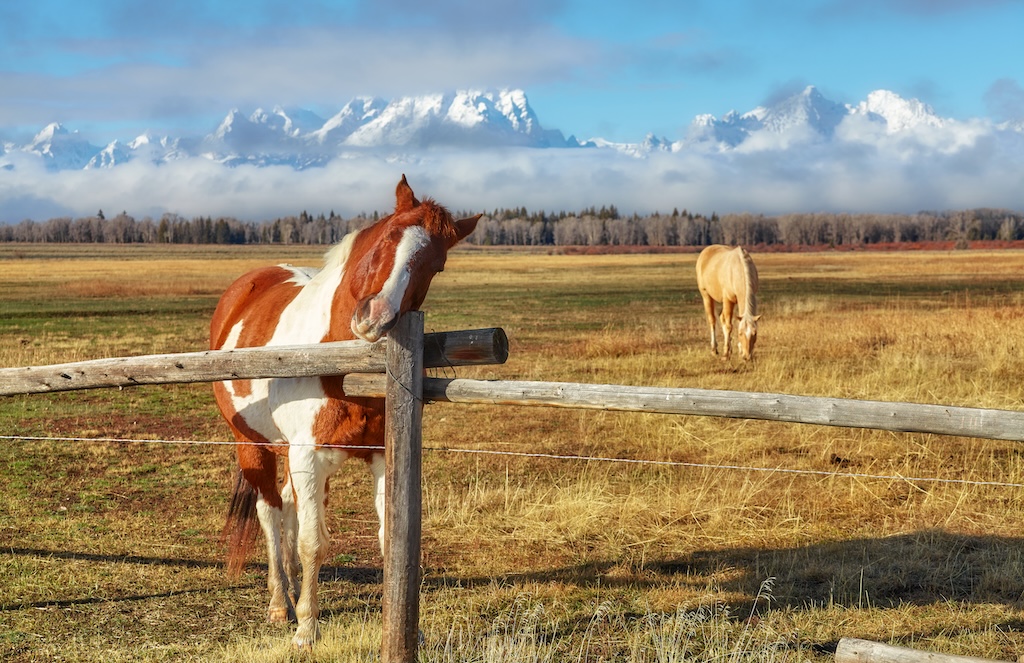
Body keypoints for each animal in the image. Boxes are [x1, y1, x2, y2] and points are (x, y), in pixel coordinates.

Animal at [210, 175, 479, 647]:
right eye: (389, 235)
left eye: (438, 264)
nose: (375, 317)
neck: (334, 359)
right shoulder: (307, 456)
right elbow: (313, 542)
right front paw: (306, 628)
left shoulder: (381, 456)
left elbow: (389, 538)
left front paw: (402, 625)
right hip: (252, 445)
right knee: (270, 512)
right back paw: (280, 602)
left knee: (286, 504)